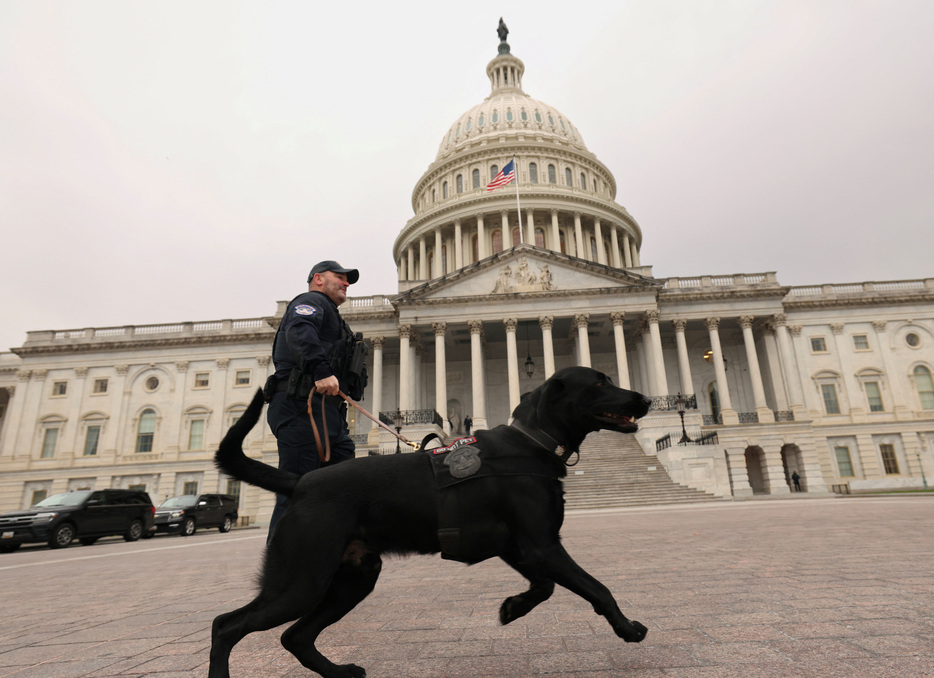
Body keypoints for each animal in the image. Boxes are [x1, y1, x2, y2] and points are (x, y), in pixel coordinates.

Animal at [210, 370, 652, 678]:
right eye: (600, 382)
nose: (647, 399)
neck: (530, 442)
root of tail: (300, 481)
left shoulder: (521, 547)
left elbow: (544, 588)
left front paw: (513, 607)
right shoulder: (542, 546)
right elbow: (597, 588)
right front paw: (627, 628)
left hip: (352, 579)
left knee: (294, 636)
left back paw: (338, 671)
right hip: (302, 582)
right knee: (226, 625)